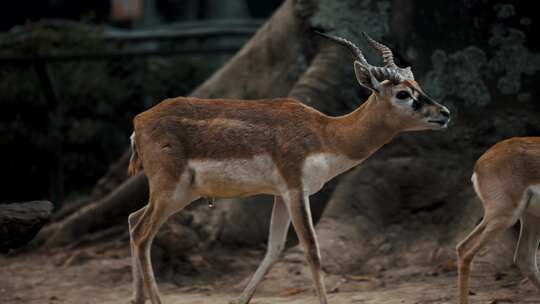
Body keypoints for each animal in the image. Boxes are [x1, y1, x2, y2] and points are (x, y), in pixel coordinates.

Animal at [126, 31, 452, 304]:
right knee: (143, 234)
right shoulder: (296, 189)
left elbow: (275, 248)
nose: (445, 113)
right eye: (402, 94)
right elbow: (312, 249)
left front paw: (239, 300)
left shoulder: (280, 195)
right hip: (170, 189)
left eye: (417, 86)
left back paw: (137, 298)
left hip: (182, 194)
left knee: (132, 221)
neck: (326, 133)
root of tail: (139, 122)